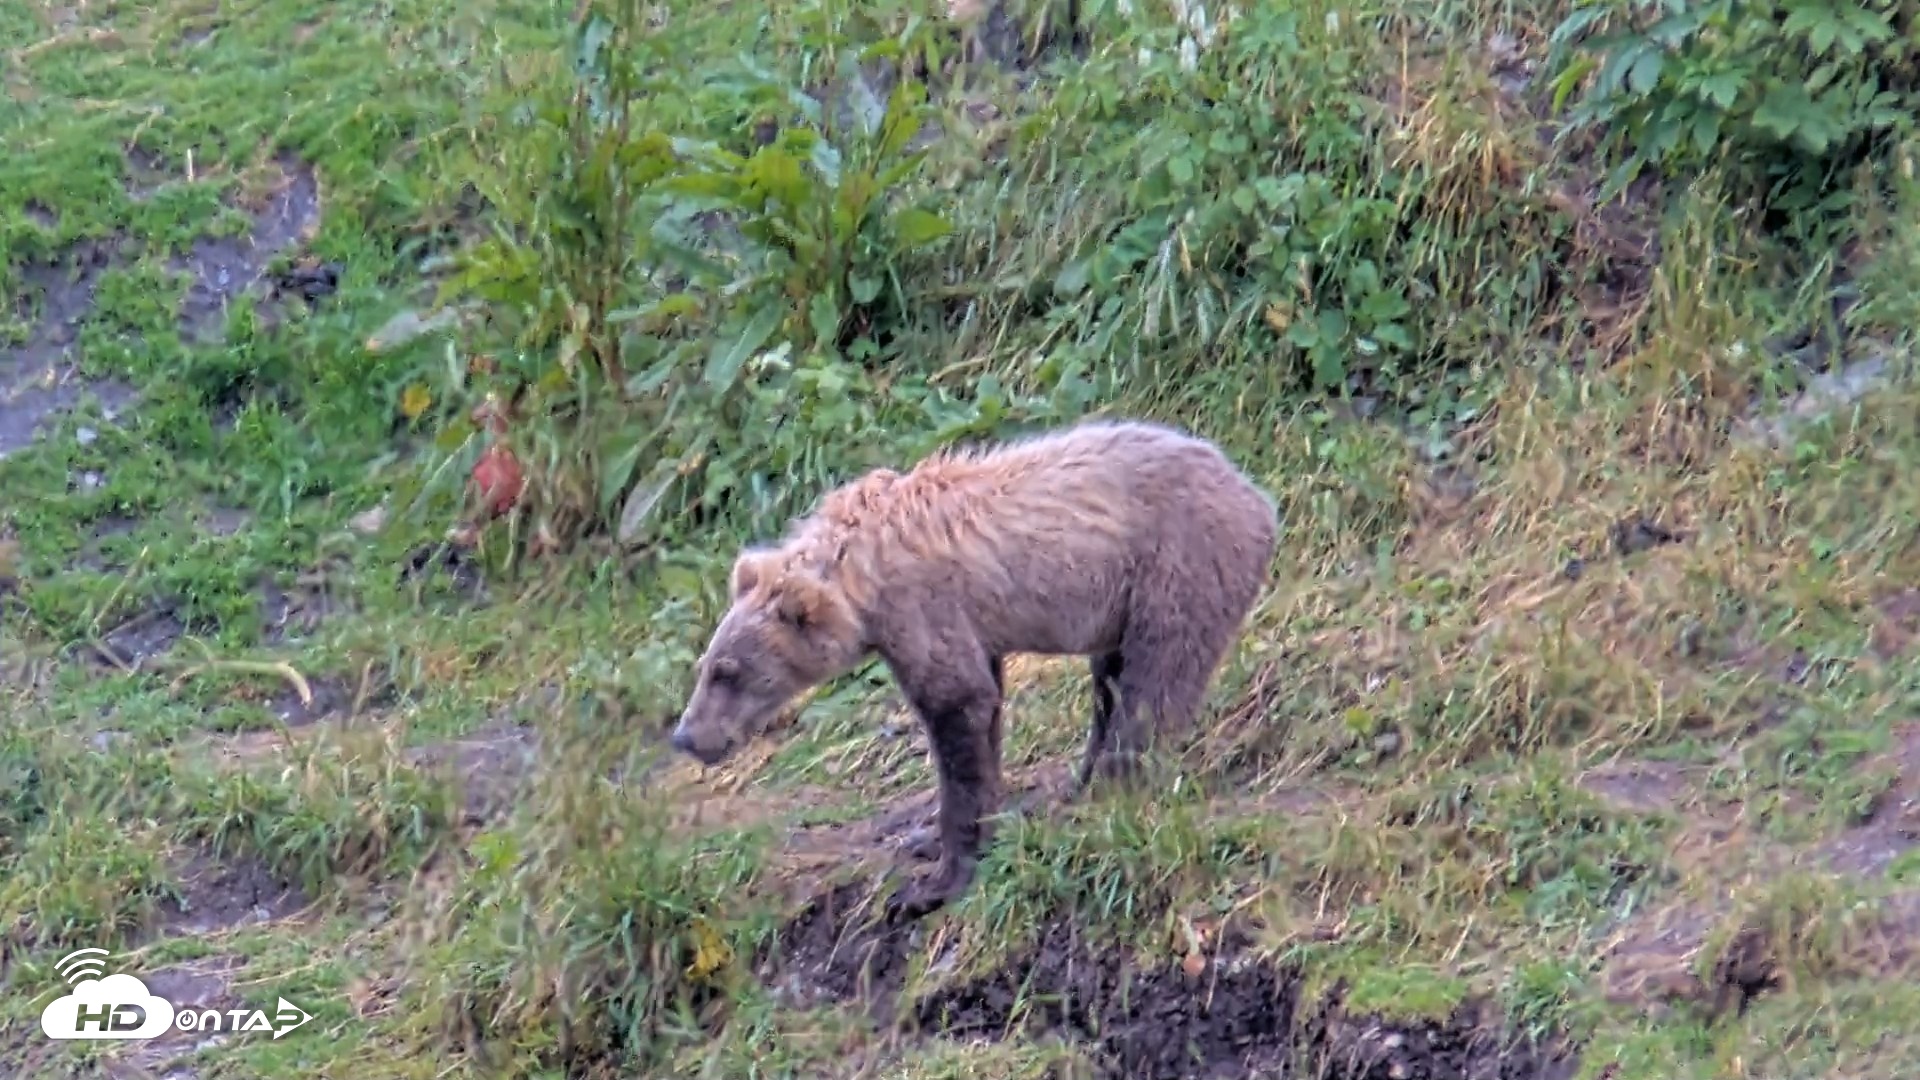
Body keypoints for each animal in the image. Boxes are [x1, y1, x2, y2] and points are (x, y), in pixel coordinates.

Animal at [668, 418, 1280, 918]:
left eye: (728, 671)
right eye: (706, 666)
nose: (686, 736)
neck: (859, 582)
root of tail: (1257, 495)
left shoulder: (921, 609)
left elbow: (956, 711)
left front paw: (934, 881)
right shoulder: (965, 630)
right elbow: (984, 712)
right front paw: (950, 834)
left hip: (1176, 565)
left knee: (1154, 682)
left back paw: (1111, 786)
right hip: (1124, 602)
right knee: (1110, 683)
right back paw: (1074, 786)